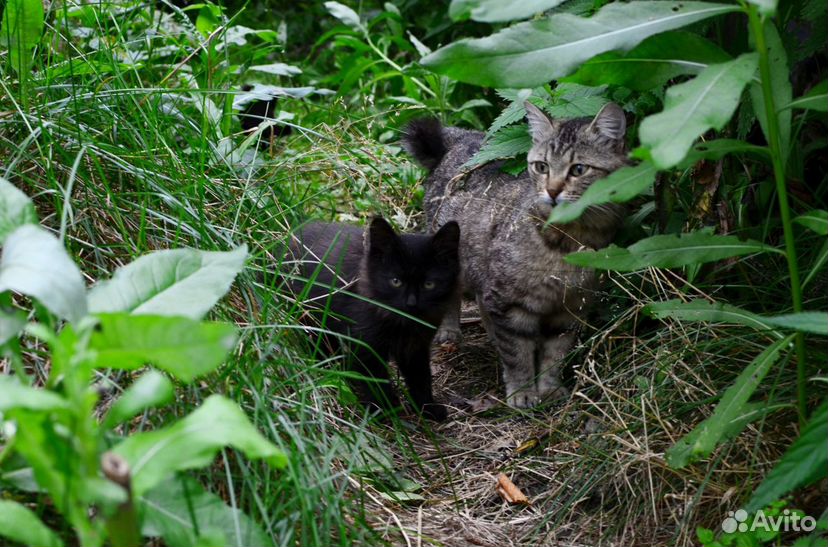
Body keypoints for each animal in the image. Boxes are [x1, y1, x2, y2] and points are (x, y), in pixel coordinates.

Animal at [290, 217, 460, 420]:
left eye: (429, 284)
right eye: (395, 281)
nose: (411, 303)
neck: (402, 323)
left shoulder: (416, 345)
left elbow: (421, 376)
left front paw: (427, 407)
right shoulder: (365, 345)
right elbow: (374, 380)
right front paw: (385, 409)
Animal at [402, 103, 628, 408]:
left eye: (578, 169)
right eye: (542, 167)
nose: (552, 191)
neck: (570, 242)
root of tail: (463, 138)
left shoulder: (570, 309)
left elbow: (555, 355)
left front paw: (549, 387)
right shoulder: (510, 304)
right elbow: (518, 354)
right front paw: (522, 392)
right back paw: (449, 331)